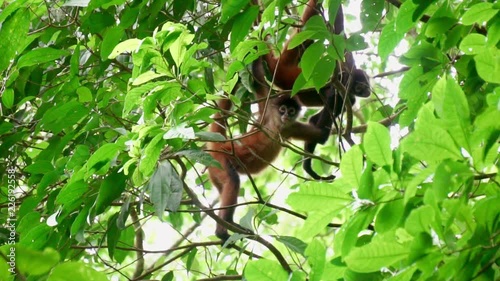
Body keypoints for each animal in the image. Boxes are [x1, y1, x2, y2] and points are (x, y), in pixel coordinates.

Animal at [208, 57, 332, 241]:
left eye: (291, 110)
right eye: (282, 109)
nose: (286, 115)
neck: (277, 125)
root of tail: (222, 143)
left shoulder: (290, 127)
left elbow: (321, 135)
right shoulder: (269, 113)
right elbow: (258, 79)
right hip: (220, 160)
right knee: (233, 180)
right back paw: (223, 230)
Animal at [260, 0, 370, 179]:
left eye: (366, 84)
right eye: (359, 87)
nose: (366, 91)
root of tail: (278, 68)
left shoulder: (347, 66)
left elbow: (340, 34)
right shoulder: (343, 87)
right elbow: (334, 101)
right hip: (288, 70)